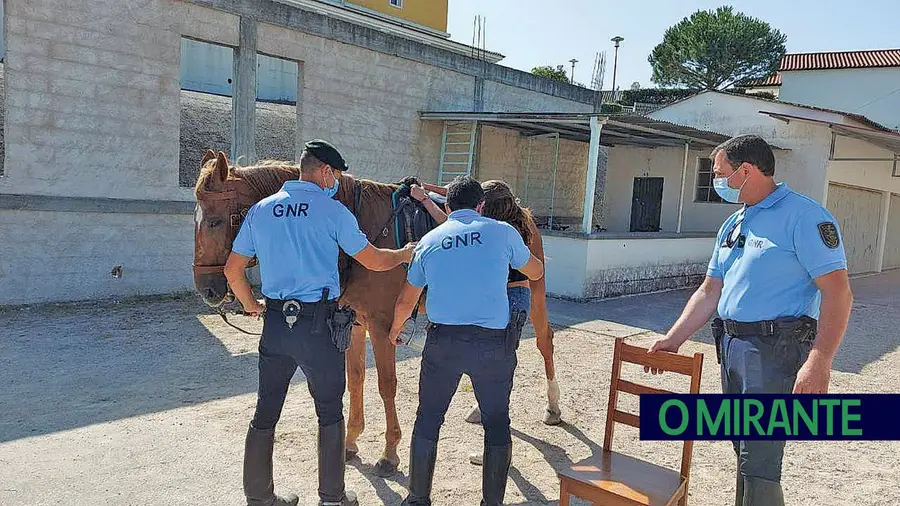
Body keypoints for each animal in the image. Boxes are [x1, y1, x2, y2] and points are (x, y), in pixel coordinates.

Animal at [192, 148, 560, 476]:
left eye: (214, 221)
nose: (206, 289)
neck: (362, 225)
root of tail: (520, 210)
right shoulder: (354, 323)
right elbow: (355, 379)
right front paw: (351, 442)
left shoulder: (383, 327)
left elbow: (386, 384)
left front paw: (390, 453)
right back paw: (479, 409)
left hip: (533, 294)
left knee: (544, 342)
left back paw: (553, 407)